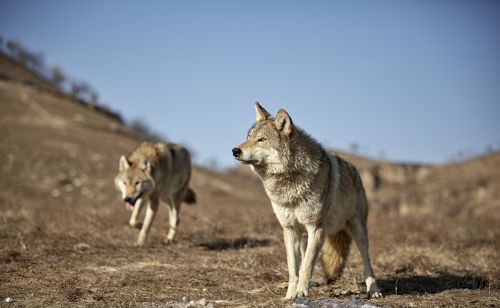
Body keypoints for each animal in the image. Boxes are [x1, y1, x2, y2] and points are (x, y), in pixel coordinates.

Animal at [232, 103, 380, 298]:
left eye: (262, 140)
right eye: (248, 137)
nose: (235, 150)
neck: (290, 180)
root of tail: (354, 169)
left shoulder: (316, 229)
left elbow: (308, 265)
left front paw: (301, 292)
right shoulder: (290, 230)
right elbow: (294, 269)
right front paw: (290, 294)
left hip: (358, 231)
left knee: (367, 262)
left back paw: (374, 290)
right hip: (304, 237)